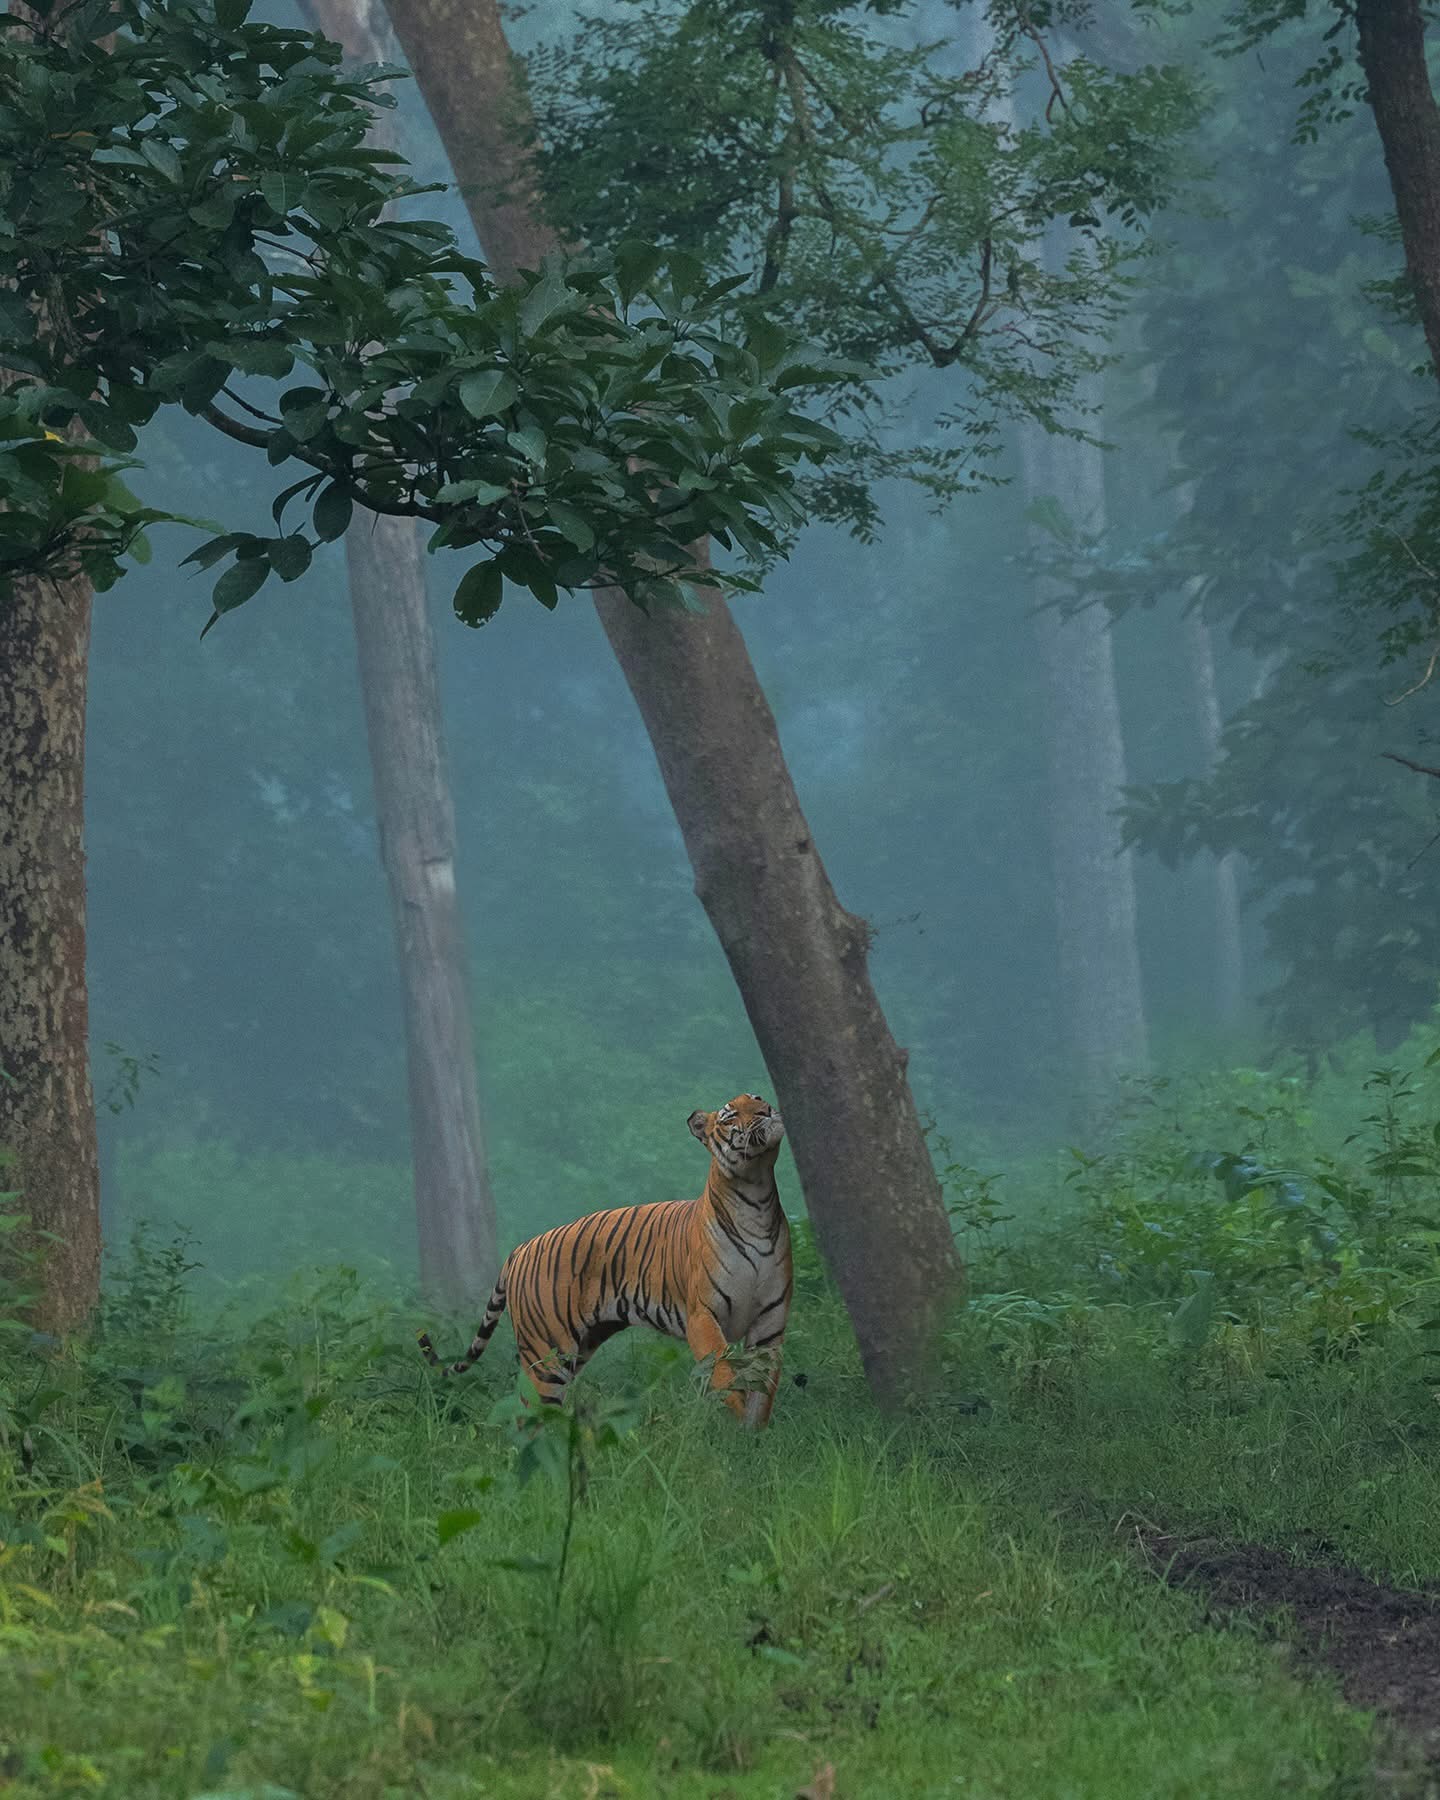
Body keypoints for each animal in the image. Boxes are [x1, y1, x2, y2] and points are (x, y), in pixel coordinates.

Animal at [418, 1093, 792, 1427]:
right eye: (730, 1115)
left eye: (757, 1097)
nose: (766, 1109)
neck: (756, 1198)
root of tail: (521, 1248)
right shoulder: (703, 1316)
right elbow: (725, 1375)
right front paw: (736, 1427)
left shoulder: (770, 1323)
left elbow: (763, 1393)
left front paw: (753, 1439)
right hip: (547, 1353)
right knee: (528, 1414)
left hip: (579, 1347)